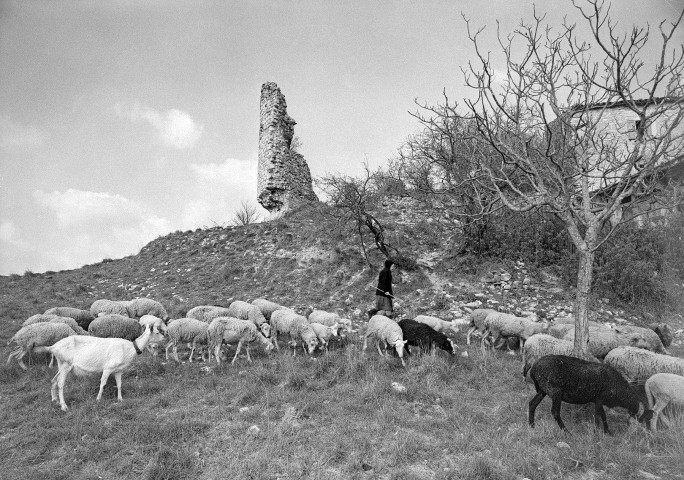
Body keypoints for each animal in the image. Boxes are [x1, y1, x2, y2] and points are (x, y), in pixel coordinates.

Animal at [36, 324, 166, 410]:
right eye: (157, 332)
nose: (165, 338)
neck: (128, 349)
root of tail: (52, 347)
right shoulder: (108, 368)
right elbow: (103, 383)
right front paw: (98, 399)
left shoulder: (118, 370)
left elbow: (119, 384)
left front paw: (120, 399)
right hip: (66, 364)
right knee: (60, 384)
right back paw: (64, 406)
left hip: (60, 364)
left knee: (53, 380)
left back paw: (55, 400)